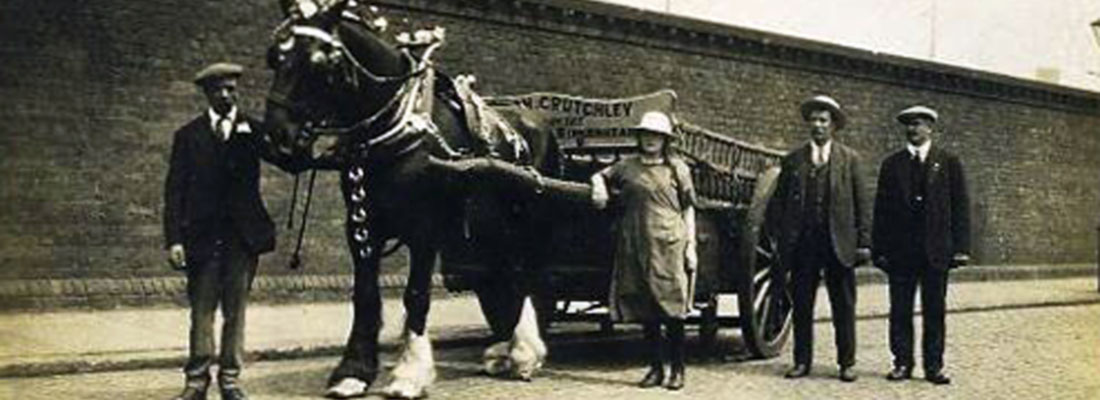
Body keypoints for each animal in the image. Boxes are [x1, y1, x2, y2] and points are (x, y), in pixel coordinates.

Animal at [261, 1, 558, 397]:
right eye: (275, 57)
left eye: (320, 62)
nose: (276, 139)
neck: (396, 129)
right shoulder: (361, 226)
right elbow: (365, 296)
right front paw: (353, 372)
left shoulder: (425, 230)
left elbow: (416, 294)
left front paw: (410, 373)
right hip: (488, 227)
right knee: (501, 277)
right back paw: (505, 350)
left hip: (523, 221)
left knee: (522, 275)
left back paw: (525, 352)